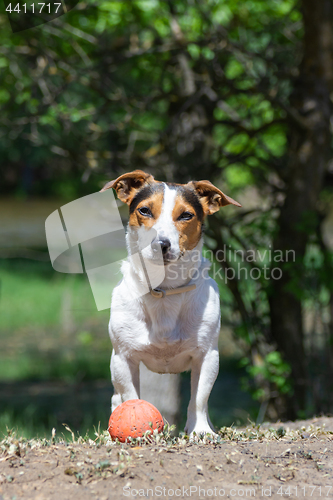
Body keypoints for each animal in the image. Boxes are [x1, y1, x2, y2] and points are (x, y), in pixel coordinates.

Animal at [100, 170, 240, 436]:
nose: (161, 244)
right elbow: (130, 396)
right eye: (144, 210)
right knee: (115, 399)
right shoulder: (123, 358)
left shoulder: (207, 356)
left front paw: (200, 431)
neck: (164, 290)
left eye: (186, 215)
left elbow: (199, 398)